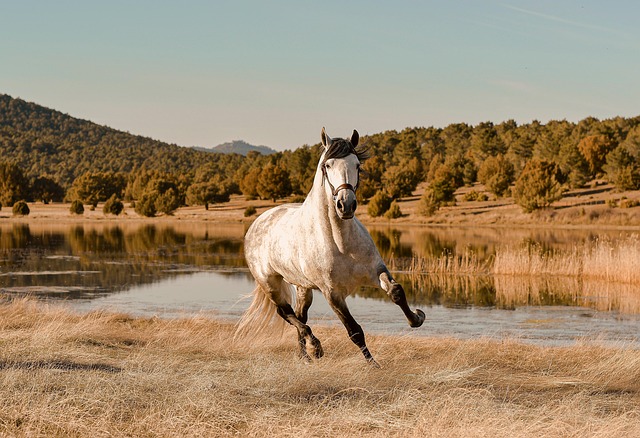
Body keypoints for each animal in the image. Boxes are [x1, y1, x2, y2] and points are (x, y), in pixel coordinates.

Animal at [237, 128, 425, 365]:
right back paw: (315, 347)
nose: (346, 205)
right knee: (286, 313)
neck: (340, 243)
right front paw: (374, 366)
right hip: (270, 283)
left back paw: (305, 356)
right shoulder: (332, 293)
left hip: (303, 287)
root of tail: (258, 222)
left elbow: (396, 292)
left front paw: (416, 318)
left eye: (357, 165)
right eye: (327, 165)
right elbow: (354, 331)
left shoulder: (375, 271)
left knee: (299, 315)